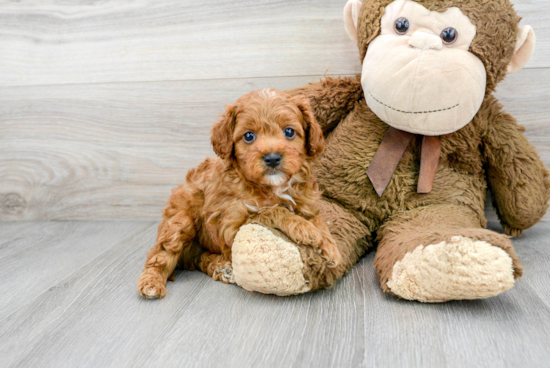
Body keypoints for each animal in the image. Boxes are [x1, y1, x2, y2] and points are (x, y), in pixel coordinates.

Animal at [137, 89, 340, 300]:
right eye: (249, 136)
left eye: (289, 132)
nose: (272, 158)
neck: (271, 187)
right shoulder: (232, 227)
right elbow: (272, 211)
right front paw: (305, 229)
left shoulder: (306, 204)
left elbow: (317, 220)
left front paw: (329, 246)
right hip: (180, 220)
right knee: (160, 254)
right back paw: (151, 283)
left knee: (196, 258)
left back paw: (221, 268)